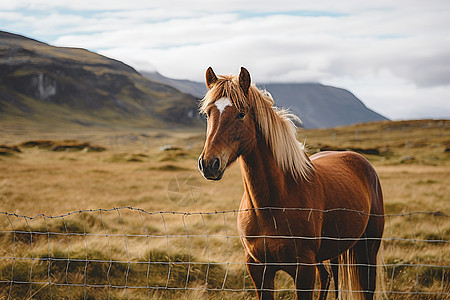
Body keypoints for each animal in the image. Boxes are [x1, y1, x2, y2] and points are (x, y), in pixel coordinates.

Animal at [197, 67, 384, 298]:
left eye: (241, 113)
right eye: (208, 113)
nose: (208, 163)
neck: (271, 206)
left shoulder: (303, 270)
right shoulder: (259, 269)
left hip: (368, 250)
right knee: (327, 277)